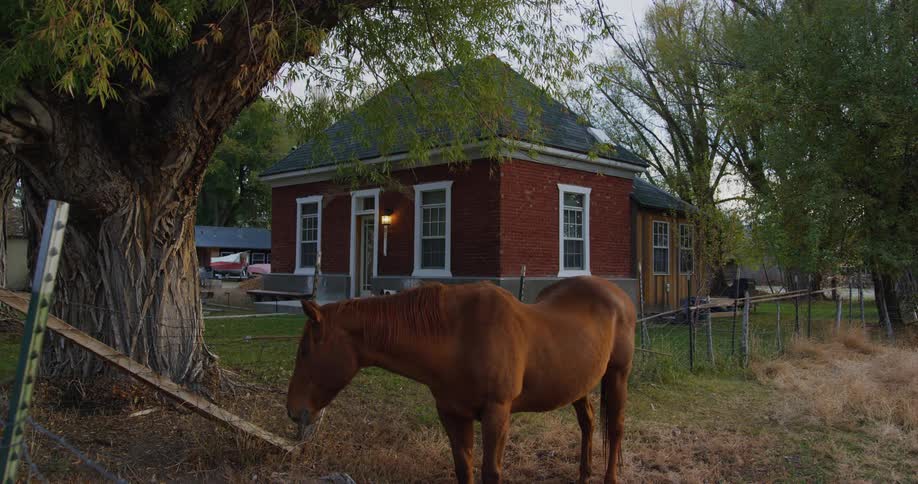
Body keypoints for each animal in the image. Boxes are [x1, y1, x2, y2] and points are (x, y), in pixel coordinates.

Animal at [286, 276, 636, 483]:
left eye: (305, 351)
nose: (292, 410)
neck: (458, 335)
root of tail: (619, 295)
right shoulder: (453, 414)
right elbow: (463, 468)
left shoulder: (497, 413)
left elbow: (490, 472)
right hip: (579, 383)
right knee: (588, 423)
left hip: (618, 374)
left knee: (615, 428)